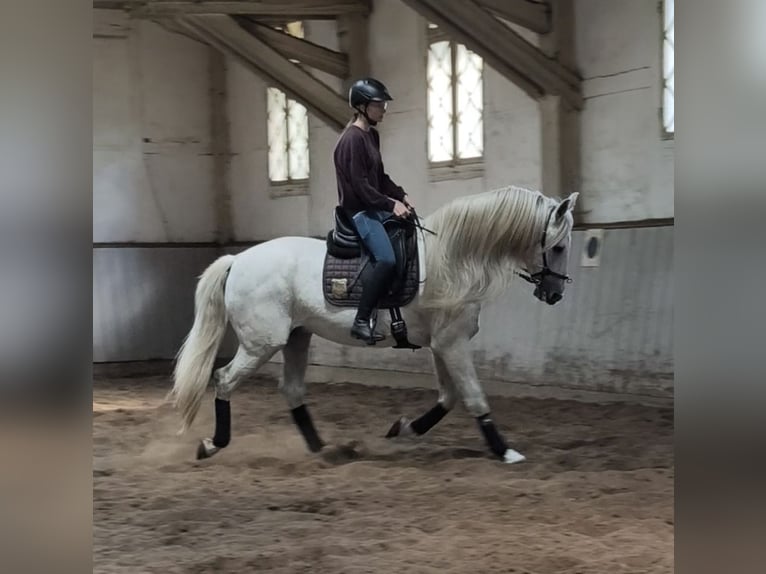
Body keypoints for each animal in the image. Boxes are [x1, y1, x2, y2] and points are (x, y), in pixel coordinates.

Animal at [170, 185, 579, 464]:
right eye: (559, 247)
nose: (556, 293)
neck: (451, 259)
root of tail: (237, 260)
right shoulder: (452, 343)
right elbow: (474, 396)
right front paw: (505, 451)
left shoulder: (441, 343)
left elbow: (448, 397)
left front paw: (405, 428)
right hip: (262, 343)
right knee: (224, 380)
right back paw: (213, 444)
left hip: (296, 337)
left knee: (293, 390)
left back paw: (325, 450)